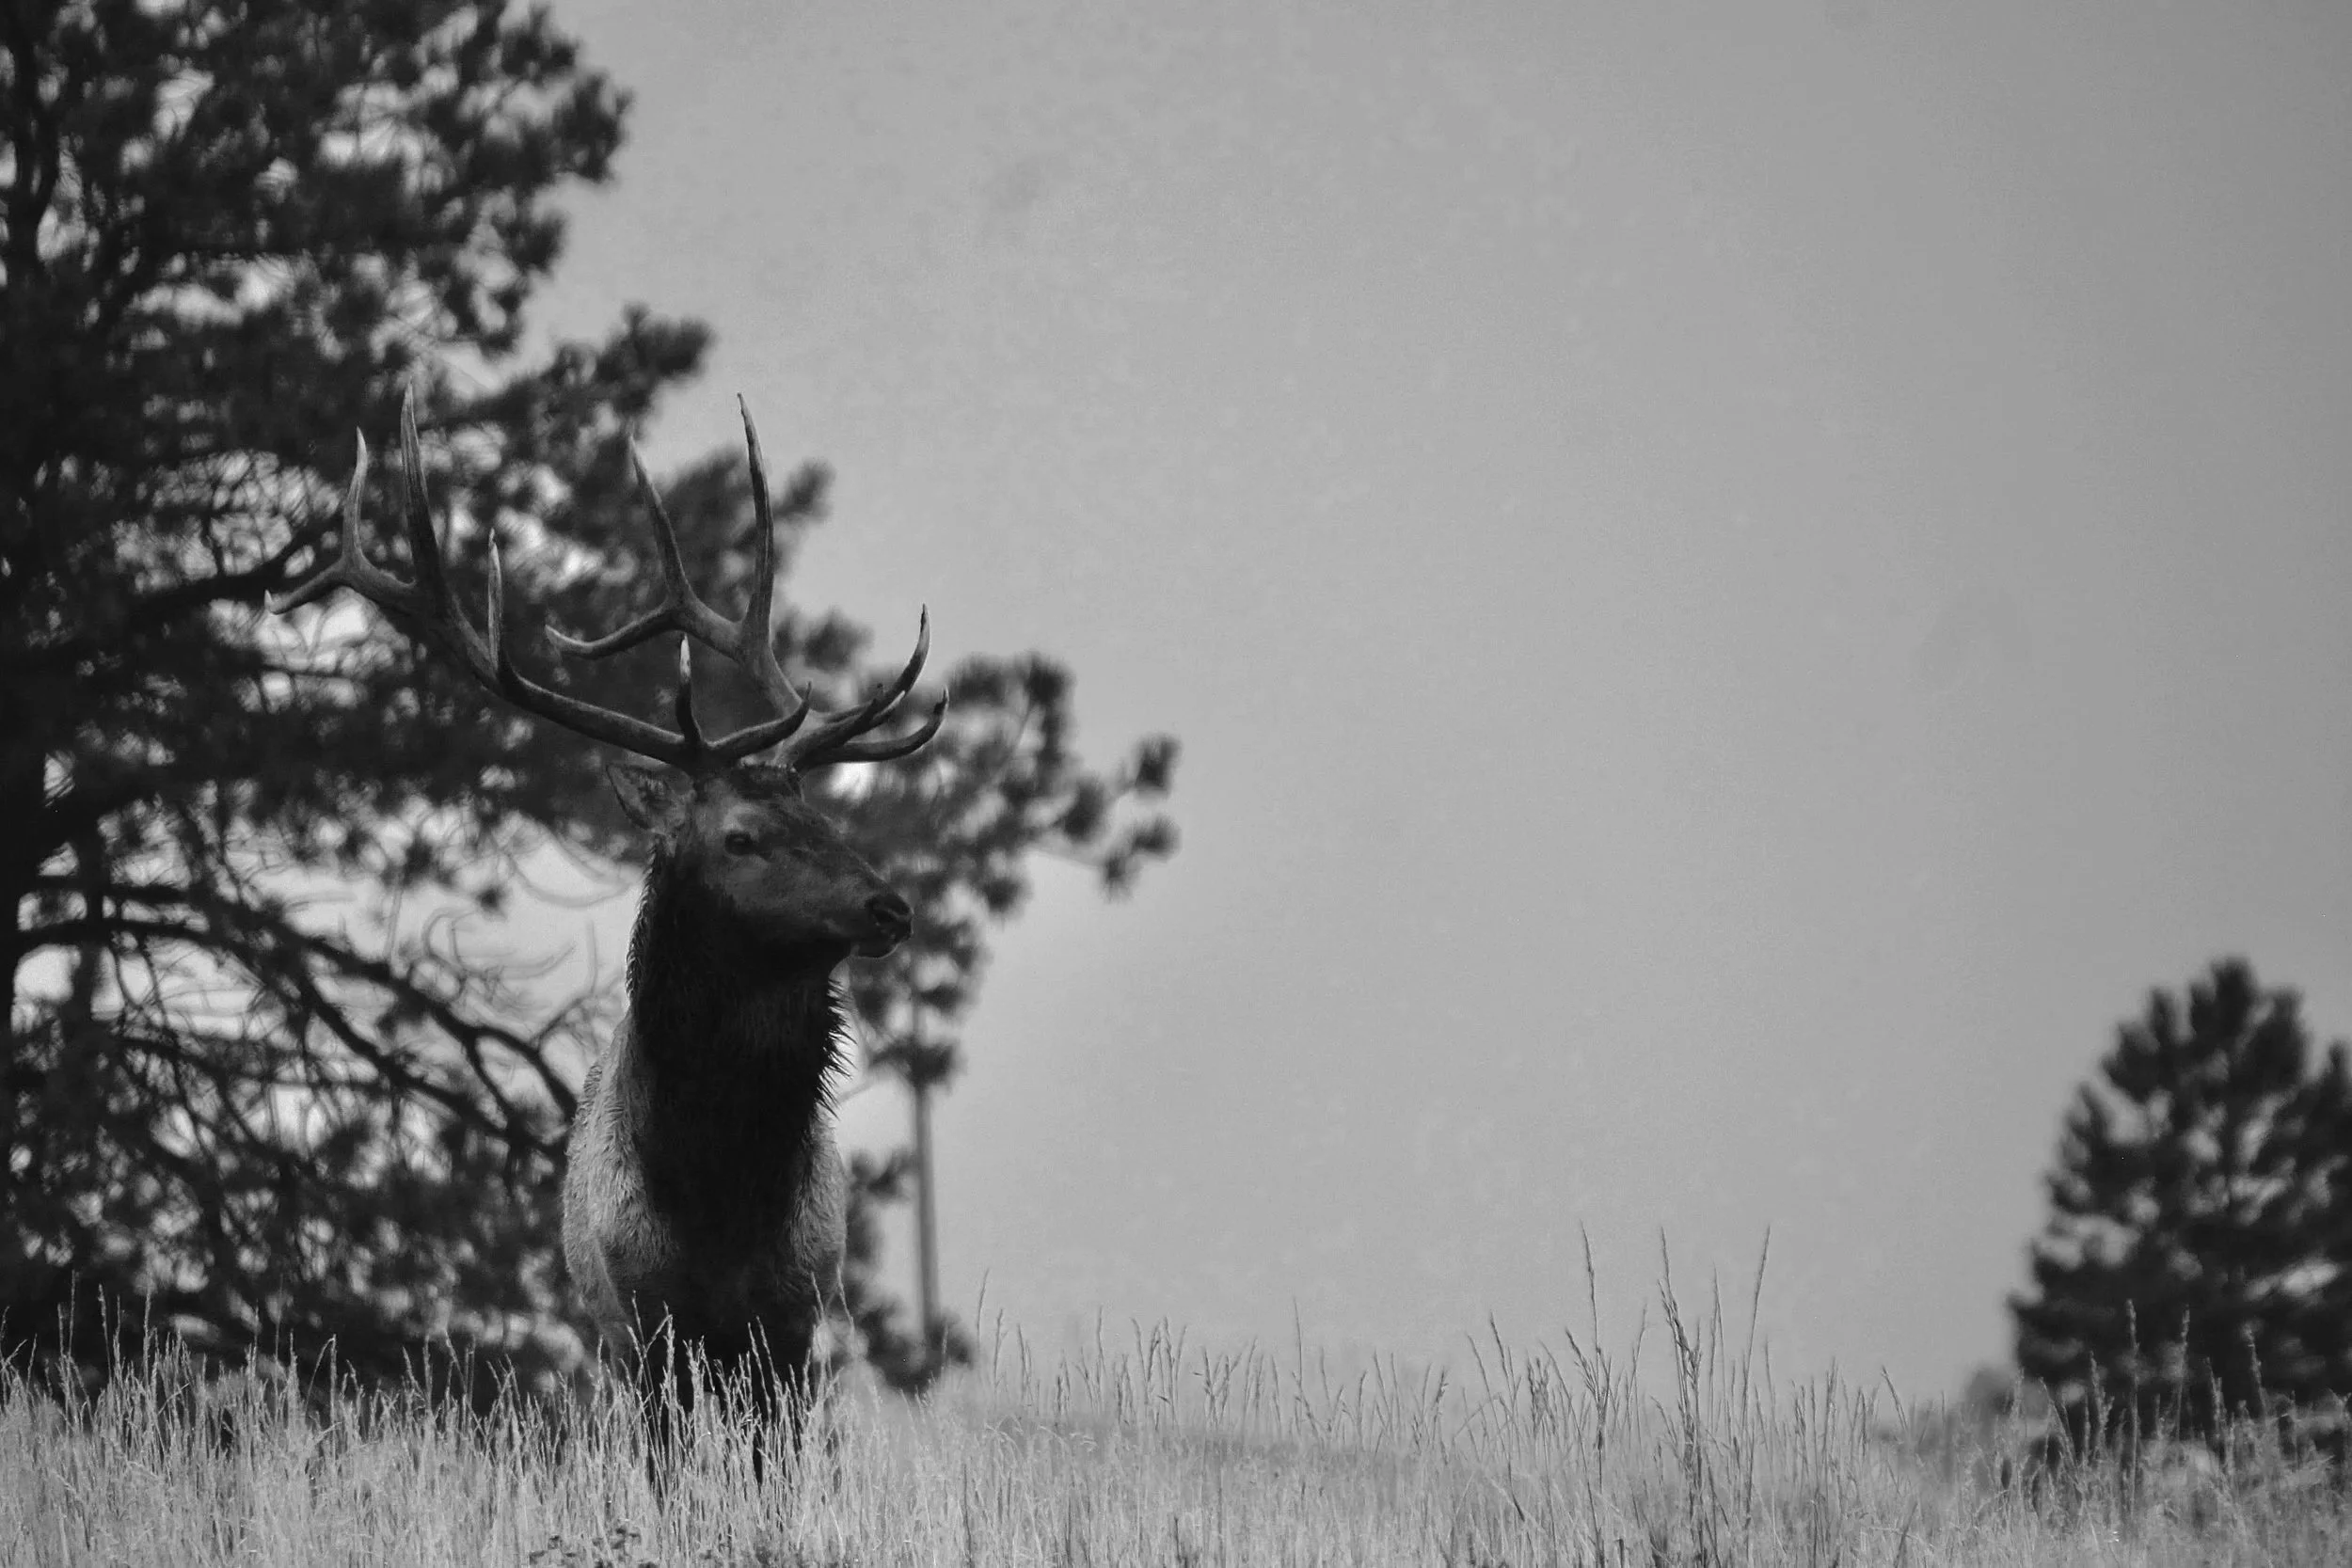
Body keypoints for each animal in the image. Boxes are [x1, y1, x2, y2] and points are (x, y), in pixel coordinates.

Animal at [270, 393, 943, 1458]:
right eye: (742, 835)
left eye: (832, 820)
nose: (890, 904)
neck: (718, 1197)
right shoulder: (641, 1318)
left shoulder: (794, 1320)